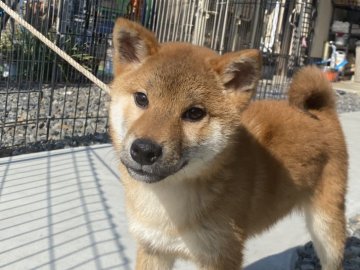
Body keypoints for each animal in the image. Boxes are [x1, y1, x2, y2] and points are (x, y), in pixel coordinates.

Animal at [108, 19, 348, 270]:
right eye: (141, 99)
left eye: (194, 113)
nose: (144, 150)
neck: (167, 202)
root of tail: (322, 112)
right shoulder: (153, 248)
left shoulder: (222, 253)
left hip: (326, 229)